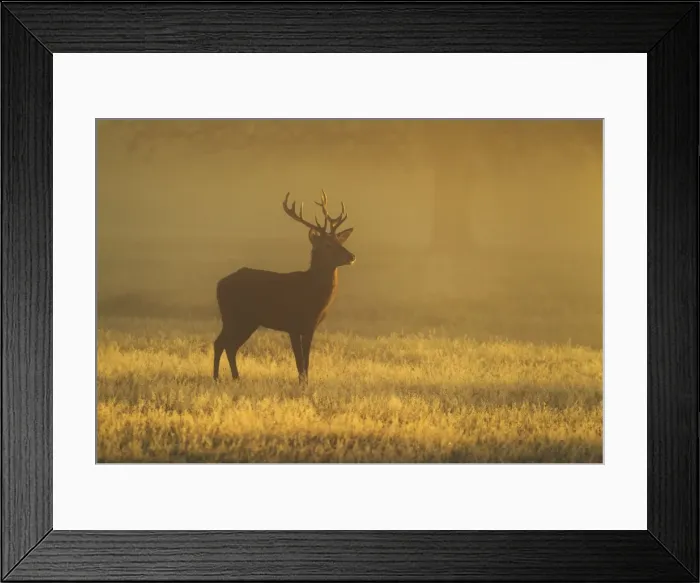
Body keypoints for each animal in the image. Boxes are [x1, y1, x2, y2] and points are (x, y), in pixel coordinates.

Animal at [213, 190, 355, 384]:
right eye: (327, 244)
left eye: (340, 241)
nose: (351, 256)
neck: (312, 293)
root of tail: (219, 284)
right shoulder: (293, 324)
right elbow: (299, 361)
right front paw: (302, 384)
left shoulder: (310, 327)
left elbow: (306, 361)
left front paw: (306, 383)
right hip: (233, 316)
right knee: (221, 343)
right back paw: (217, 378)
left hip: (247, 321)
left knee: (229, 345)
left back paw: (235, 378)